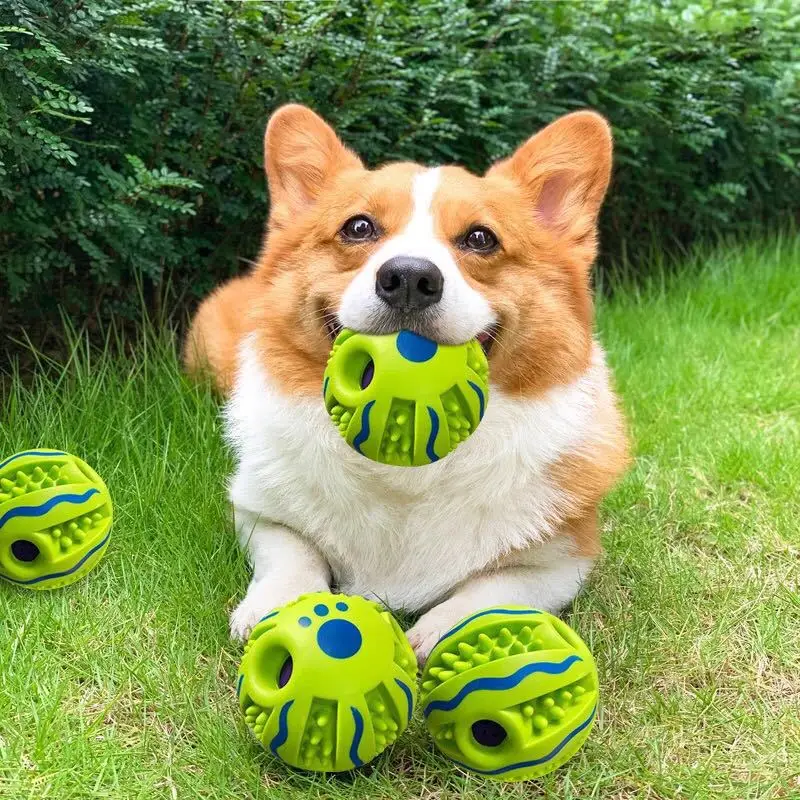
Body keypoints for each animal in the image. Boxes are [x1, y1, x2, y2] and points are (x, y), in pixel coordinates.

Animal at [184, 103, 628, 660]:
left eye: (480, 238)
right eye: (358, 227)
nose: (411, 279)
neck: (406, 463)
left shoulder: (562, 559)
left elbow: (490, 590)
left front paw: (436, 632)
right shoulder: (258, 512)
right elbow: (294, 554)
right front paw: (277, 605)